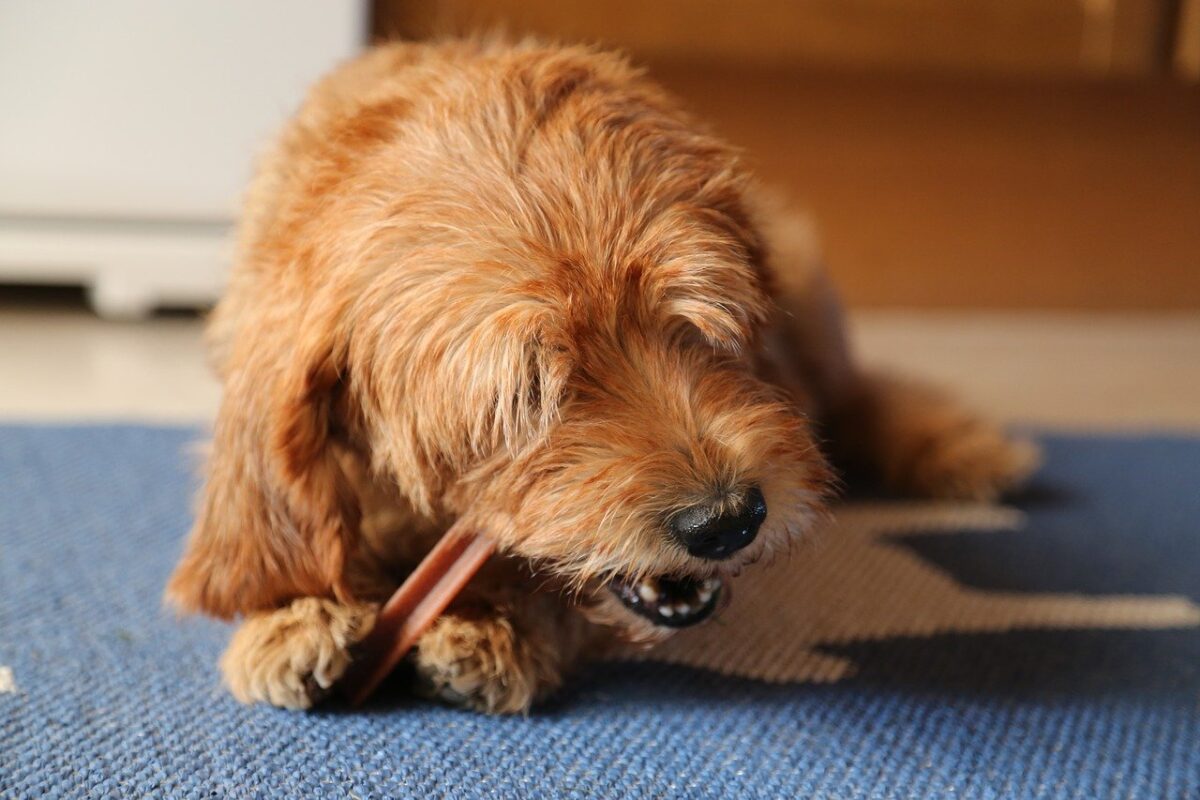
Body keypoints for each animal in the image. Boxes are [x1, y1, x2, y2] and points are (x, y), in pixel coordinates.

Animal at [164, 38, 1036, 714]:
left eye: (699, 324)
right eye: (527, 393)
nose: (727, 521)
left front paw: (497, 624)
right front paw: (292, 614)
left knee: (855, 393)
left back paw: (960, 446)